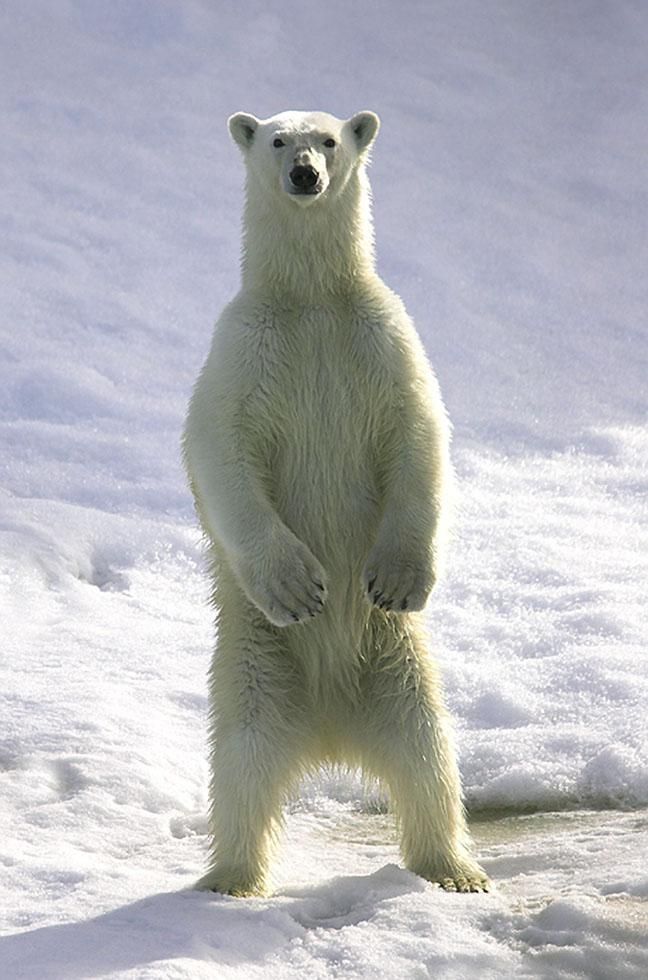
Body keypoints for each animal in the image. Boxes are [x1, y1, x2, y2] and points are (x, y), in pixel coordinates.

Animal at [181, 109, 486, 896]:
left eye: (327, 139)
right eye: (276, 140)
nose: (304, 175)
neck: (312, 301)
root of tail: (329, 735)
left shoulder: (384, 339)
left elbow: (420, 433)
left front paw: (397, 577)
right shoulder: (243, 350)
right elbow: (221, 451)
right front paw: (298, 585)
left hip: (397, 665)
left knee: (429, 758)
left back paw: (456, 871)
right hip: (255, 664)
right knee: (242, 766)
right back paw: (231, 877)